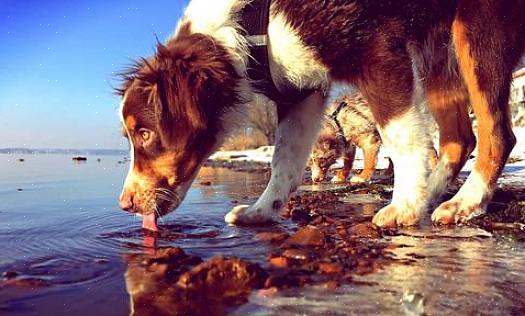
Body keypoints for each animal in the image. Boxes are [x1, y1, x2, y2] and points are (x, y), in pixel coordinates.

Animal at [118, 0, 524, 228]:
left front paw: (404, 208)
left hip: (475, 30)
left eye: (145, 134)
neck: (246, 26)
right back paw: (435, 194)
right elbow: (284, 161)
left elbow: (400, 135)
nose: (125, 205)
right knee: (460, 139)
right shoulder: (301, 94)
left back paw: (464, 202)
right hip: (439, 54)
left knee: (497, 133)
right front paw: (261, 212)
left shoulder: (378, 49)